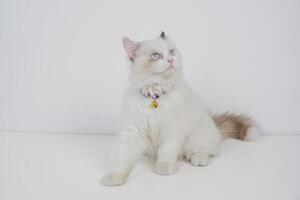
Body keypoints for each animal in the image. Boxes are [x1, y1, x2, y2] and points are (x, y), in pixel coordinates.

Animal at [101, 31, 260, 186]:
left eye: (171, 52)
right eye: (156, 55)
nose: (171, 60)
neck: (155, 95)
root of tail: (215, 126)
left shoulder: (172, 129)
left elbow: (167, 151)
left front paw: (164, 168)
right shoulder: (134, 129)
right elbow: (124, 160)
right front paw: (115, 178)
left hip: (198, 134)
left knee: (207, 151)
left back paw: (198, 158)